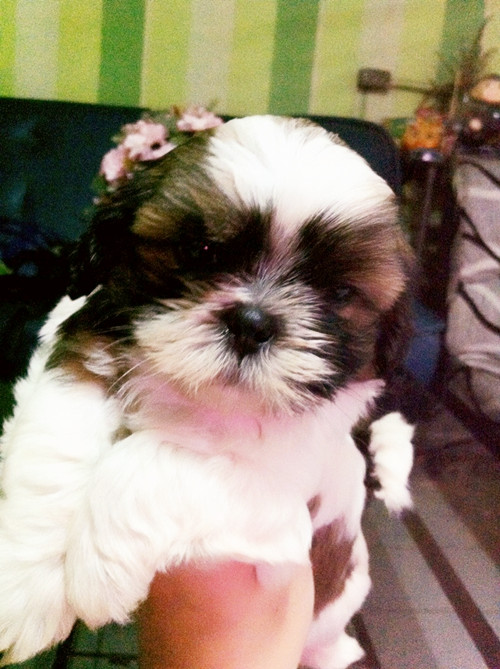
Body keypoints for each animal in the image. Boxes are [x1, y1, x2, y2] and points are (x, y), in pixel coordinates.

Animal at [0, 116, 414, 668]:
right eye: (203, 252)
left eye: (339, 293)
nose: (252, 323)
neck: (197, 394)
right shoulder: (76, 362)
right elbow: (55, 447)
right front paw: (28, 585)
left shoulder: (277, 495)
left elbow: (151, 457)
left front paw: (95, 575)